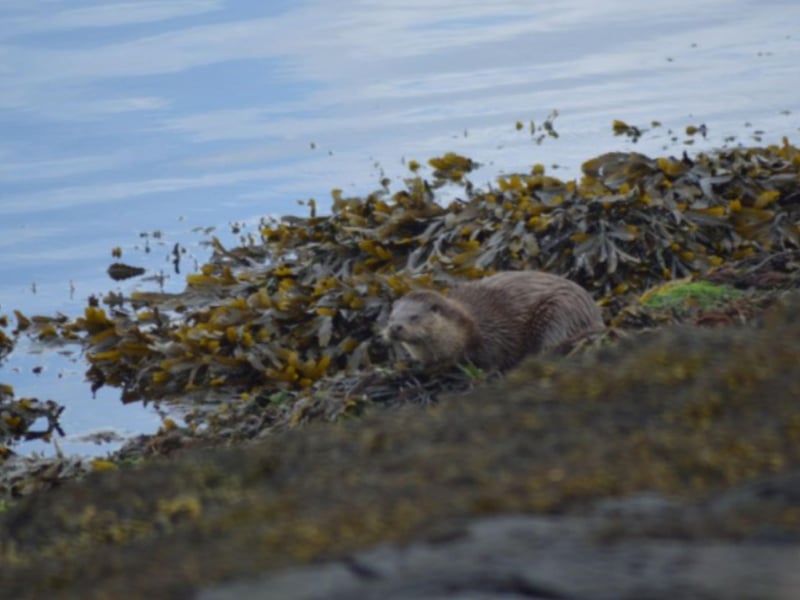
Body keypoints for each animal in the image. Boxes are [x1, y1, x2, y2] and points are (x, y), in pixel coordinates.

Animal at [384, 271, 604, 370]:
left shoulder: (495, 336)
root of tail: (593, 314)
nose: (394, 327)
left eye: (414, 316)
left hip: (560, 312)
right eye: (391, 317)